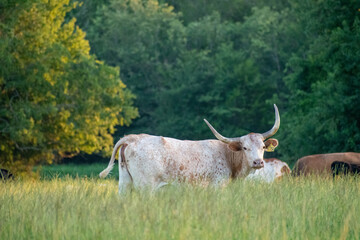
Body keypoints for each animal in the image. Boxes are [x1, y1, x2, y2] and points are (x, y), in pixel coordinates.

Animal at [100, 104, 280, 192]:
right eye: (245, 148)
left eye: (263, 146)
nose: (258, 162)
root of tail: (134, 137)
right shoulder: (217, 187)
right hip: (146, 187)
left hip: (124, 184)